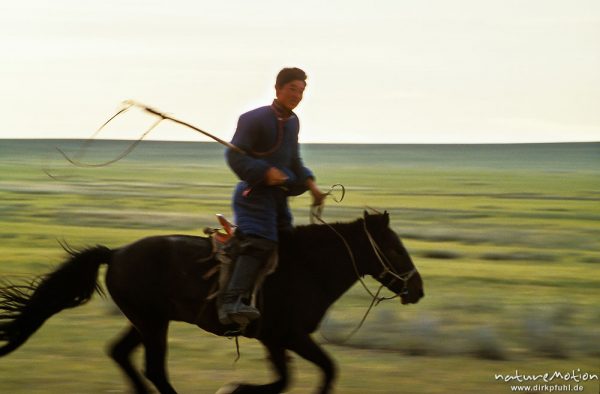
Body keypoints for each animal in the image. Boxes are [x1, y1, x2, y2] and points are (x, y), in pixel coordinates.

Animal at [0, 212, 424, 394]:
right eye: (394, 248)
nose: (417, 289)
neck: (307, 267)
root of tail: (116, 252)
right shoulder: (284, 336)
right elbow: (307, 375)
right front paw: (235, 388)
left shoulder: (278, 340)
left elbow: (300, 376)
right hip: (152, 323)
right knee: (154, 369)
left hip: (146, 321)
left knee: (121, 354)